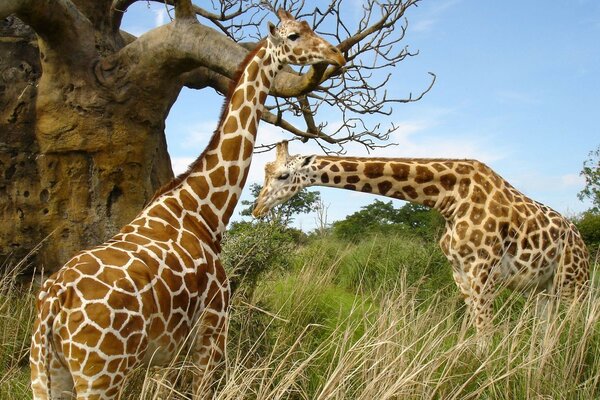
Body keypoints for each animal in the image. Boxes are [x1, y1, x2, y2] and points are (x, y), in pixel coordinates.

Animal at [29, 10, 346, 398]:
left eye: (308, 28)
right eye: (293, 36)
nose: (335, 54)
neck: (203, 210)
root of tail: (53, 305)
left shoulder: (166, 351)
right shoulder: (213, 326)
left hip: (45, 372)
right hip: (101, 373)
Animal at [253, 142, 592, 336]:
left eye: (283, 175)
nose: (257, 208)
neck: (449, 199)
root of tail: (582, 242)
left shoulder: (483, 271)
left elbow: (485, 334)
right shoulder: (460, 273)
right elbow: (472, 331)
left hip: (574, 284)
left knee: (576, 328)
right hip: (543, 289)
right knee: (547, 334)